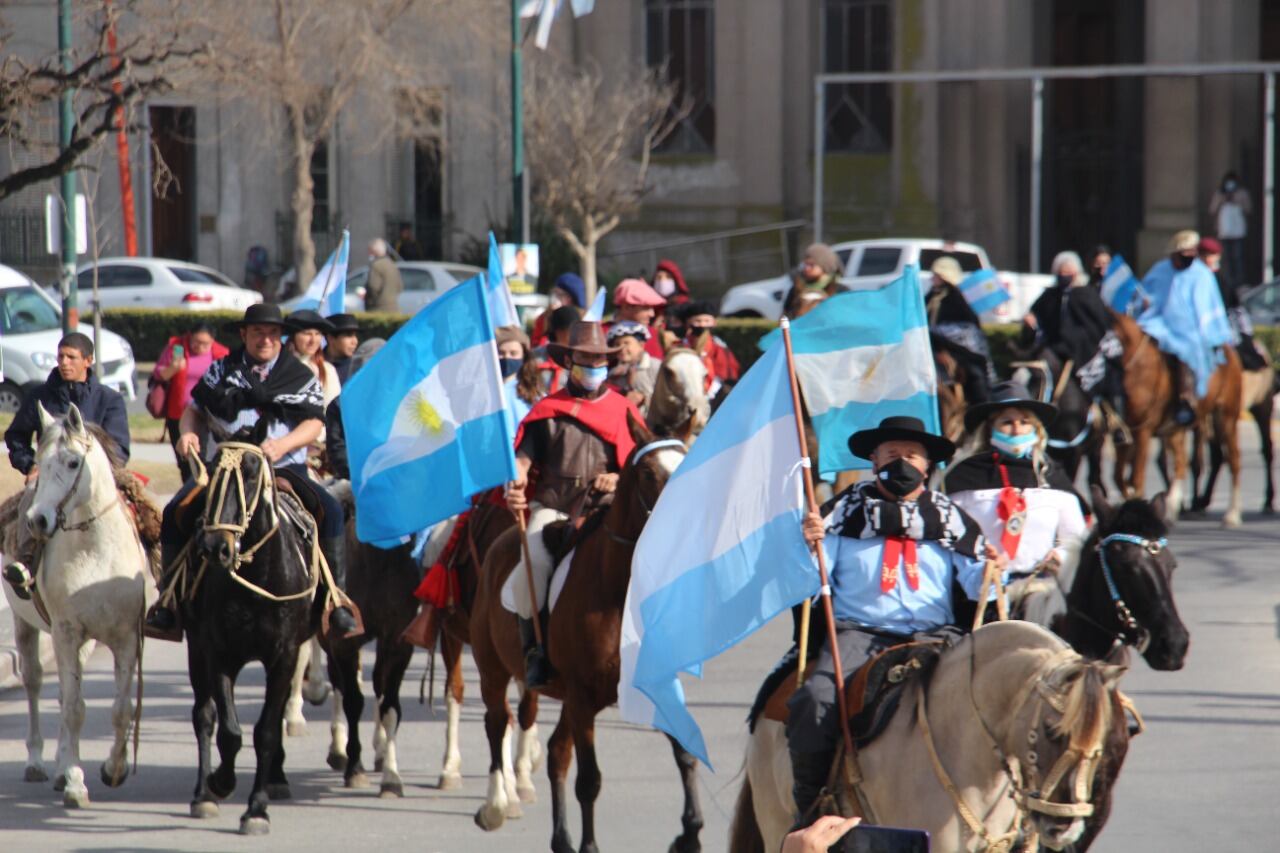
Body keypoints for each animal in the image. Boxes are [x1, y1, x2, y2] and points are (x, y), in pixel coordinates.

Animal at [3, 402, 147, 809]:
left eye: (72, 462)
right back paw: (39, 762)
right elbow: (74, 708)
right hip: (28, 627)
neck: (96, 551)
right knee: (36, 684)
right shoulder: (66, 633)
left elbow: (120, 709)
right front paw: (76, 783)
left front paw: (113, 769)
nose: (38, 520)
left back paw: (60, 765)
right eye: (38, 459)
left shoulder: (126, 638)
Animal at [179, 440, 320, 835]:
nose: (215, 547)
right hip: (196, 650)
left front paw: (257, 808)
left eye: (253, 473)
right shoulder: (218, 653)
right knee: (204, 715)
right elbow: (229, 730)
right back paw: (203, 794)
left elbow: (267, 731)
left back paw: (277, 777)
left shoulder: (285, 656)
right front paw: (220, 782)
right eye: (212, 469)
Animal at [468, 417, 706, 850]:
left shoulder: (653, 686)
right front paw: (590, 844)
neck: (617, 592)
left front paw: (690, 833)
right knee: (497, 723)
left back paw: (560, 838)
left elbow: (685, 752)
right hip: (495, 671)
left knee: (556, 754)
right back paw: (496, 805)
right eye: (649, 474)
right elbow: (590, 780)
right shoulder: (581, 698)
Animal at [1111, 313, 1239, 525]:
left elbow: (1136, 477)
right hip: (1176, 429)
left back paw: (1232, 514)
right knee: (1180, 463)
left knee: (1233, 459)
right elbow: (1119, 477)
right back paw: (1173, 507)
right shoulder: (1123, 434)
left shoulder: (1143, 430)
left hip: (1226, 416)